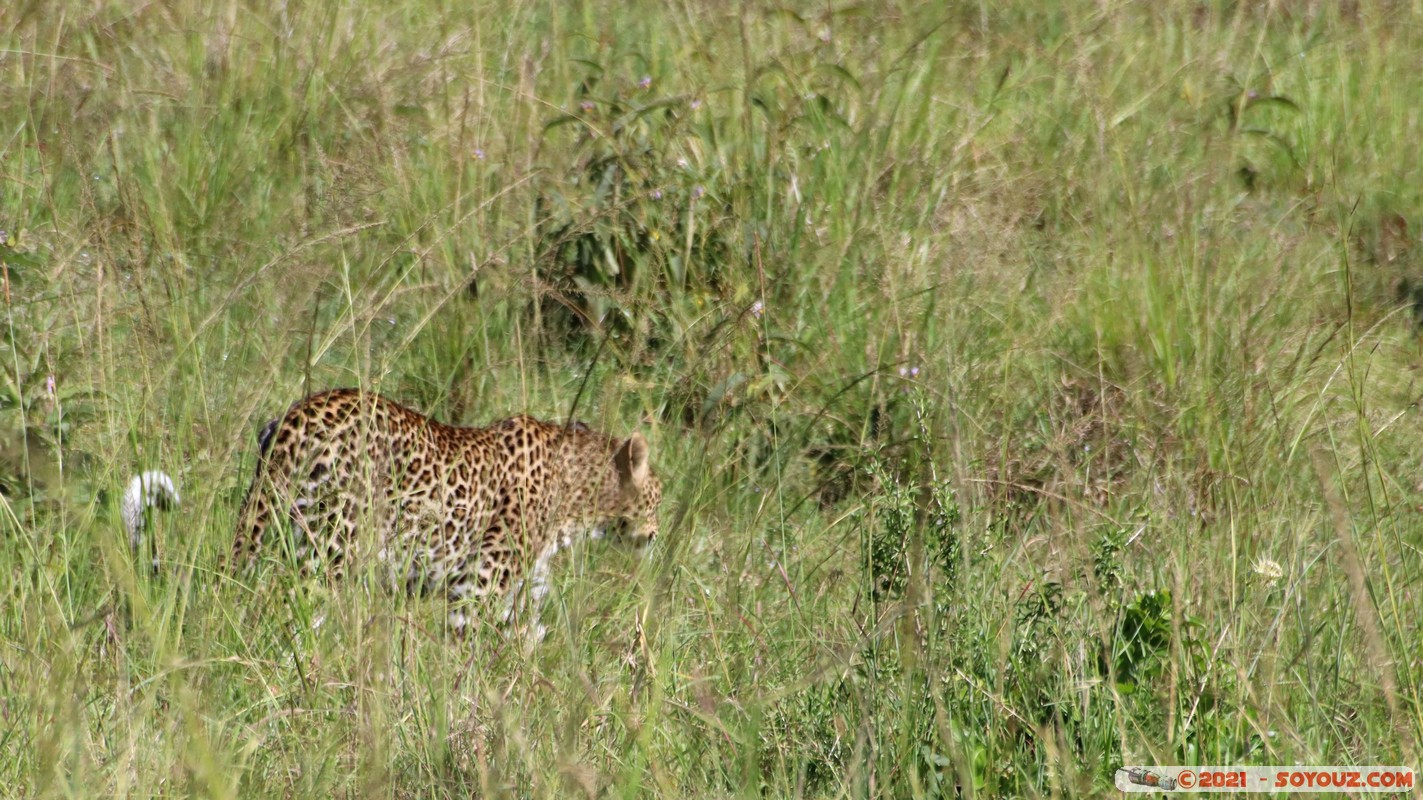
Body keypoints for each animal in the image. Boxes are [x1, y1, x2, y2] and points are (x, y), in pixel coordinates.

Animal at [229, 388, 662, 631]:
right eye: (658, 496)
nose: (656, 534)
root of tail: (296, 417)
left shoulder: (523, 588)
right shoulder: (478, 586)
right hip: (331, 548)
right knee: (290, 607)